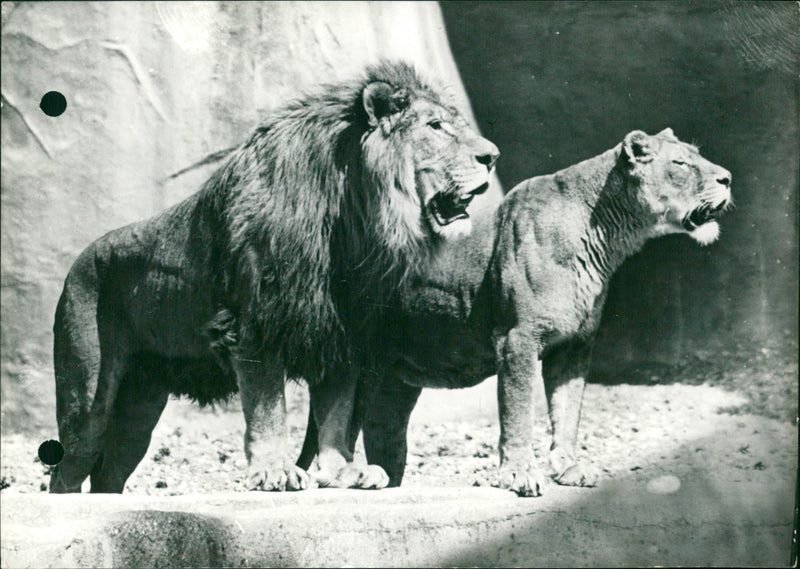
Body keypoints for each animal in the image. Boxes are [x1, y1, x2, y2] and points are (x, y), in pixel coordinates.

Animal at [50, 60, 496, 490]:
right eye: (435, 126)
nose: (493, 157)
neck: (351, 219)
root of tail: (78, 262)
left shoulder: (340, 332)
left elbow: (336, 415)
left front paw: (342, 471)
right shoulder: (255, 323)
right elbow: (268, 410)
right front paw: (274, 471)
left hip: (140, 404)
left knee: (108, 474)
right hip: (88, 399)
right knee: (65, 471)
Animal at [300, 126, 732, 494]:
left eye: (696, 156)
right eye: (681, 163)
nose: (727, 178)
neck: (605, 236)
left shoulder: (574, 345)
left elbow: (567, 412)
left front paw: (569, 467)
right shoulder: (517, 339)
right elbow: (519, 412)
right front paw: (520, 474)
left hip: (395, 380)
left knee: (384, 434)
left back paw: (382, 479)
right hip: (346, 360)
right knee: (328, 433)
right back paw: (344, 476)